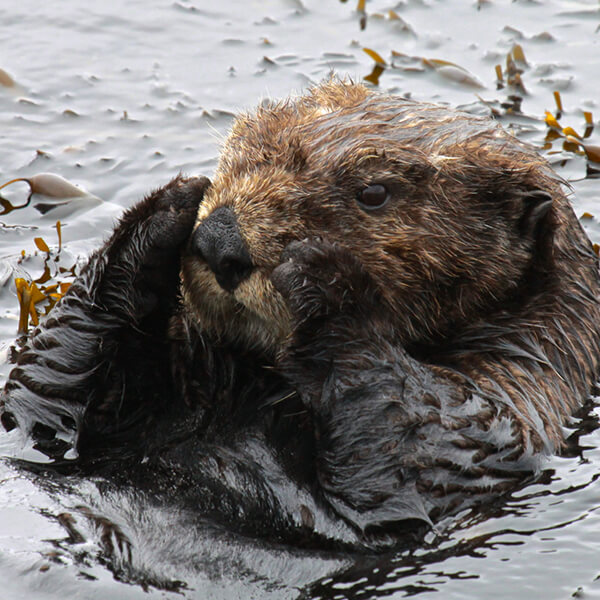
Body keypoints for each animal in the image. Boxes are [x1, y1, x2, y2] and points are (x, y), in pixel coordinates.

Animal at [1, 82, 600, 552]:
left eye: (374, 192)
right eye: (238, 149)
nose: (219, 239)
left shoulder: (512, 403)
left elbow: (417, 446)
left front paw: (322, 274)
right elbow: (39, 395)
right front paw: (169, 207)